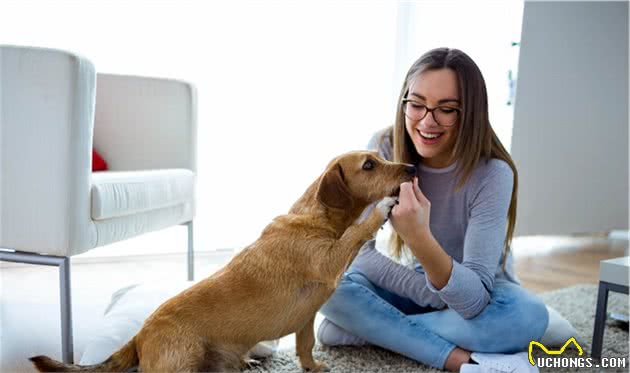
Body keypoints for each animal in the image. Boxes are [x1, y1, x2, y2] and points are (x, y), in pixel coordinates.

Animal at [30, 150, 414, 370]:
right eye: (369, 165)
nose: (411, 167)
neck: (318, 217)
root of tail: (140, 336)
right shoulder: (331, 260)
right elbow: (358, 231)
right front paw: (381, 208)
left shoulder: (308, 317)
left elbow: (305, 347)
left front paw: (313, 367)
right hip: (183, 359)